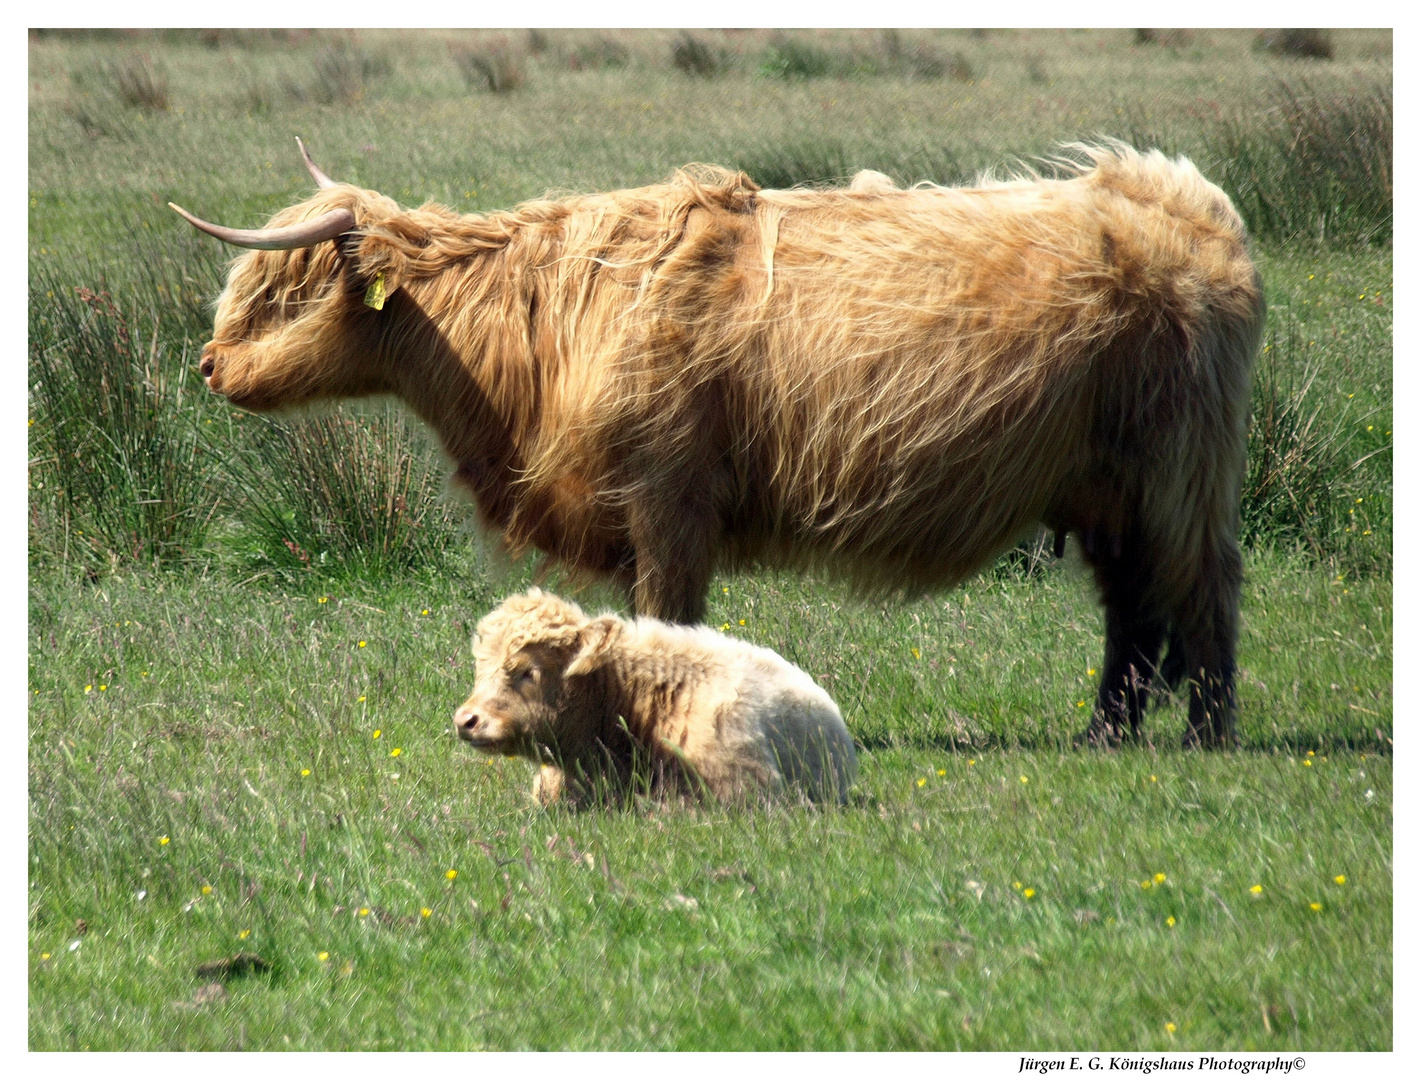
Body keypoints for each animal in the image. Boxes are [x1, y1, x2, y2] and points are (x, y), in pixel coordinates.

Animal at [174, 141, 1267, 750]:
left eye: (285, 291)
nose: (209, 365)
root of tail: (1184, 201)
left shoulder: (668, 498)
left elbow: (671, 621)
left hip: (1178, 470)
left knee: (1200, 587)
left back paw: (1207, 736)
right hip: (1103, 485)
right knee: (1131, 609)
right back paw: (1103, 735)